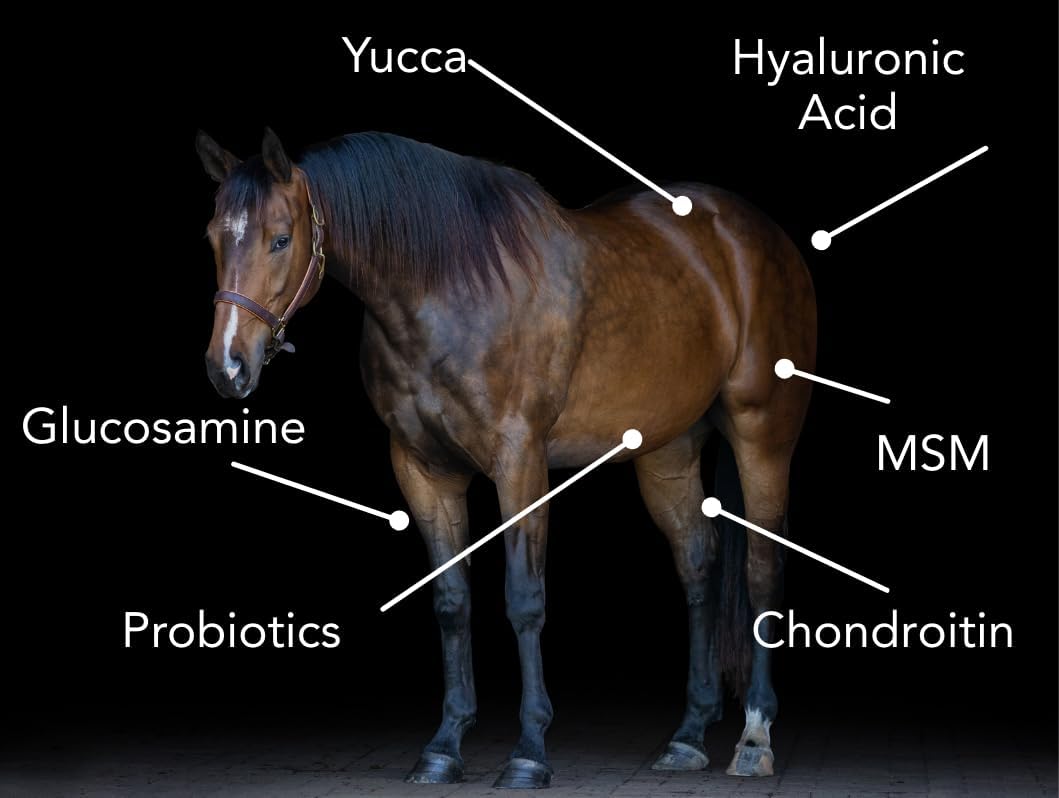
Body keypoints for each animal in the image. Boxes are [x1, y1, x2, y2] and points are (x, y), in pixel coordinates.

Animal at [197, 128, 816, 789]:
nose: (227, 368)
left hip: (762, 433)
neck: (447, 289)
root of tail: (755, 236)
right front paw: (443, 747)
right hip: (666, 449)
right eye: (213, 237)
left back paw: (754, 736)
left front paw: (529, 752)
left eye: (281, 238)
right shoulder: (423, 469)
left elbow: (523, 598)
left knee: (762, 570)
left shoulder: (519, 461)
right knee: (698, 566)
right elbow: (451, 601)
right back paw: (689, 735)